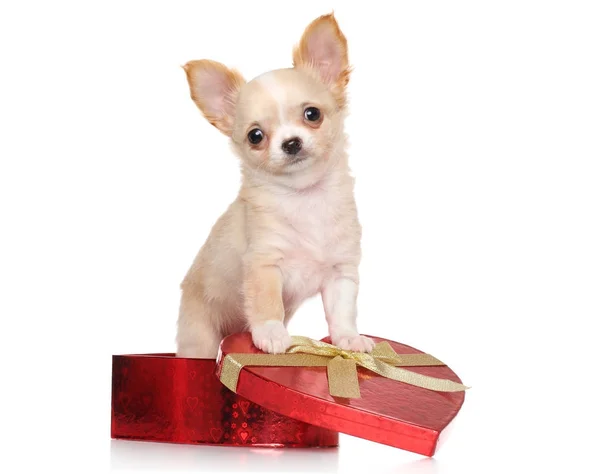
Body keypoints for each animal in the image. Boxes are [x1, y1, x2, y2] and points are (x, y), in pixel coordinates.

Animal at [176, 12, 372, 358]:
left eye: (312, 114)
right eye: (255, 136)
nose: (291, 143)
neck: (305, 197)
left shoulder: (341, 271)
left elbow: (343, 311)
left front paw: (348, 340)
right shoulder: (264, 264)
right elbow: (268, 303)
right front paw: (271, 334)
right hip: (199, 334)